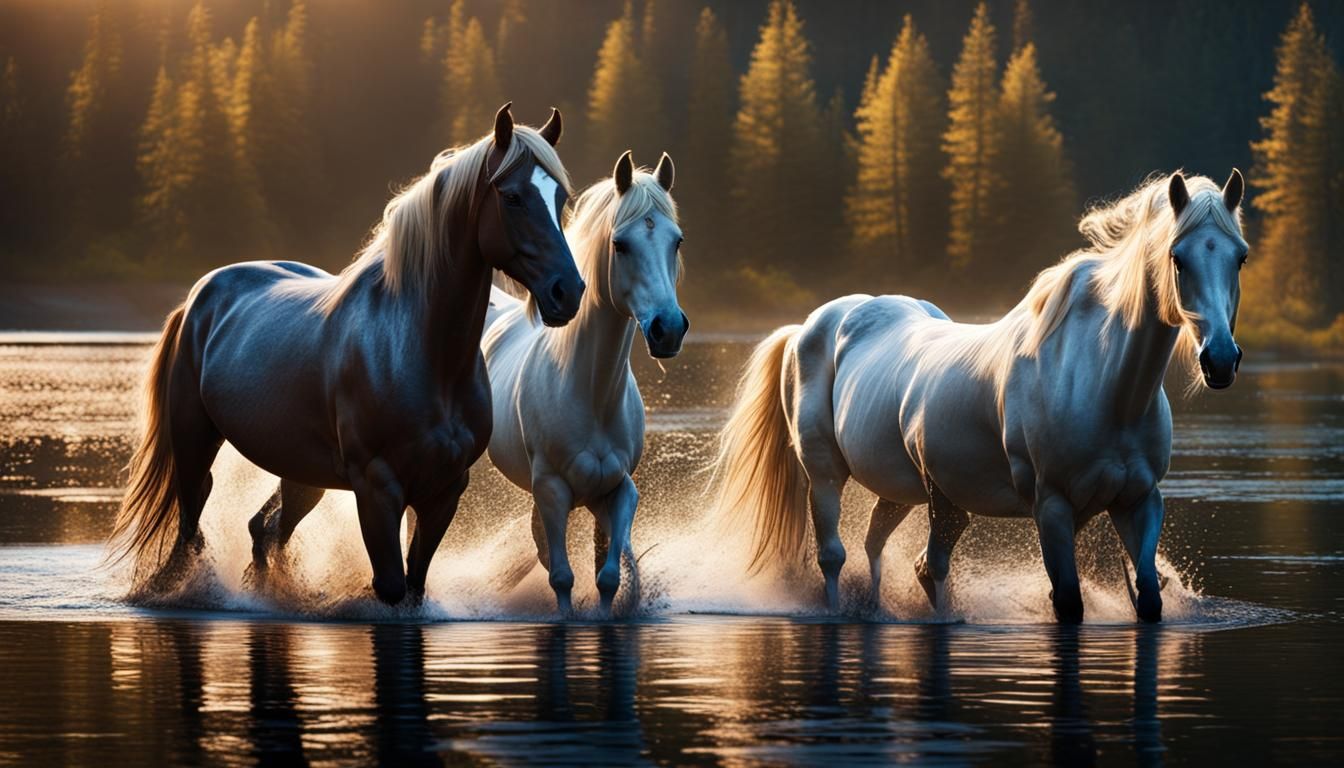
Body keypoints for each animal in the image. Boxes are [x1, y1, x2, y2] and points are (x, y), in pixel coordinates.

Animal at [109, 104, 585, 606]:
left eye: (560, 197)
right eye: (512, 197)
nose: (567, 291)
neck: (420, 354)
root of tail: (200, 295)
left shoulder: (444, 491)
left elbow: (414, 585)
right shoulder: (376, 487)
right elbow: (391, 585)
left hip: (301, 473)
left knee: (265, 530)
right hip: (195, 442)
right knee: (192, 526)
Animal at [483, 150, 686, 614]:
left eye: (677, 241)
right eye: (620, 244)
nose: (668, 329)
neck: (590, 392)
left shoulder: (619, 490)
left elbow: (608, 575)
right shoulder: (552, 490)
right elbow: (561, 576)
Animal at [711, 170, 1247, 623]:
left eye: (1239, 256)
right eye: (1178, 257)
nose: (1220, 360)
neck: (1101, 384)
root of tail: (814, 324)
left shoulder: (1138, 501)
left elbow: (1149, 598)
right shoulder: (1052, 507)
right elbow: (1067, 604)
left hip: (917, 494)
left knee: (892, 553)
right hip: (826, 474)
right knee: (836, 557)